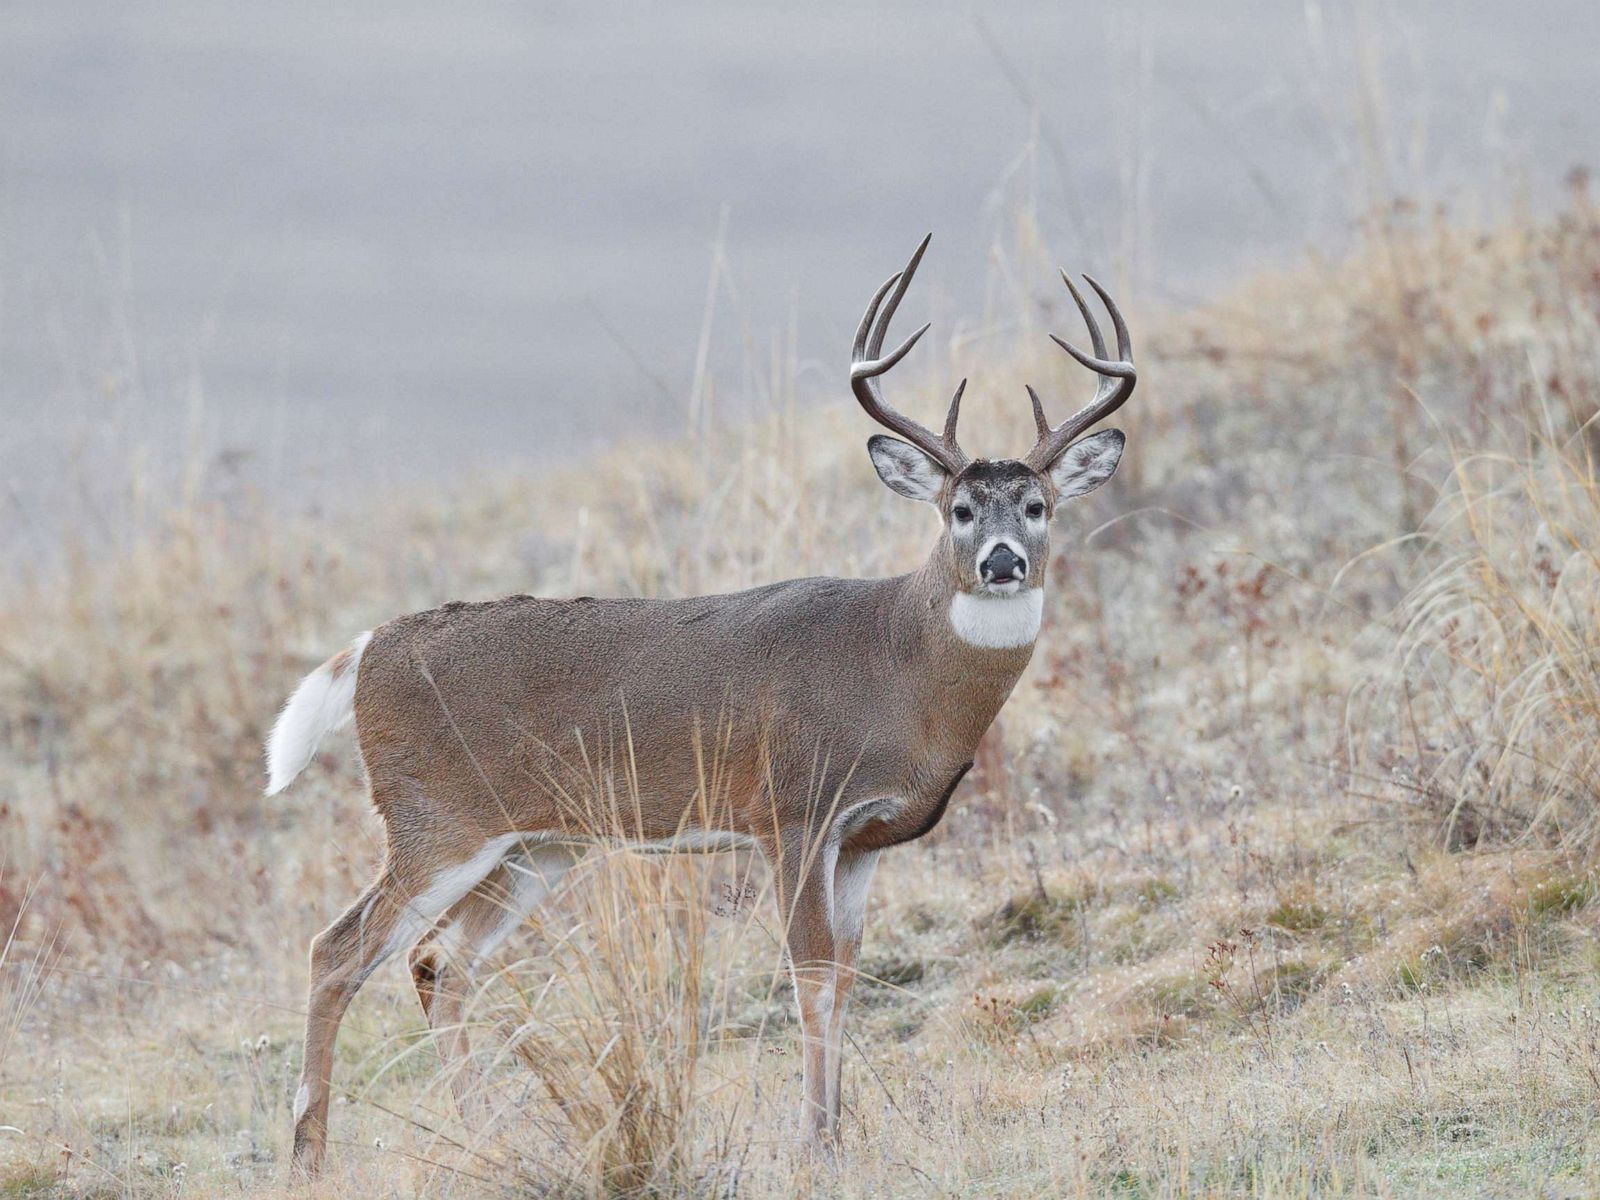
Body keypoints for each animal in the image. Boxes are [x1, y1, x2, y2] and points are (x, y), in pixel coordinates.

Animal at [264, 234, 1135, 1174]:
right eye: (960, 509)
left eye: (1039, 505)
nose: (1003, 561)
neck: (899, 671)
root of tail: (367, 650)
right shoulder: (794, 810)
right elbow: (810, 975)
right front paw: (814, 1141)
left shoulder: (864, 840)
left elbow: (847, 974)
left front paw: (839, 1129)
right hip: (435, 819)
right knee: (337, 949)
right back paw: (309, 1155)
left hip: (536, 845)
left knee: (439, 961)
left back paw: (487, 1137)